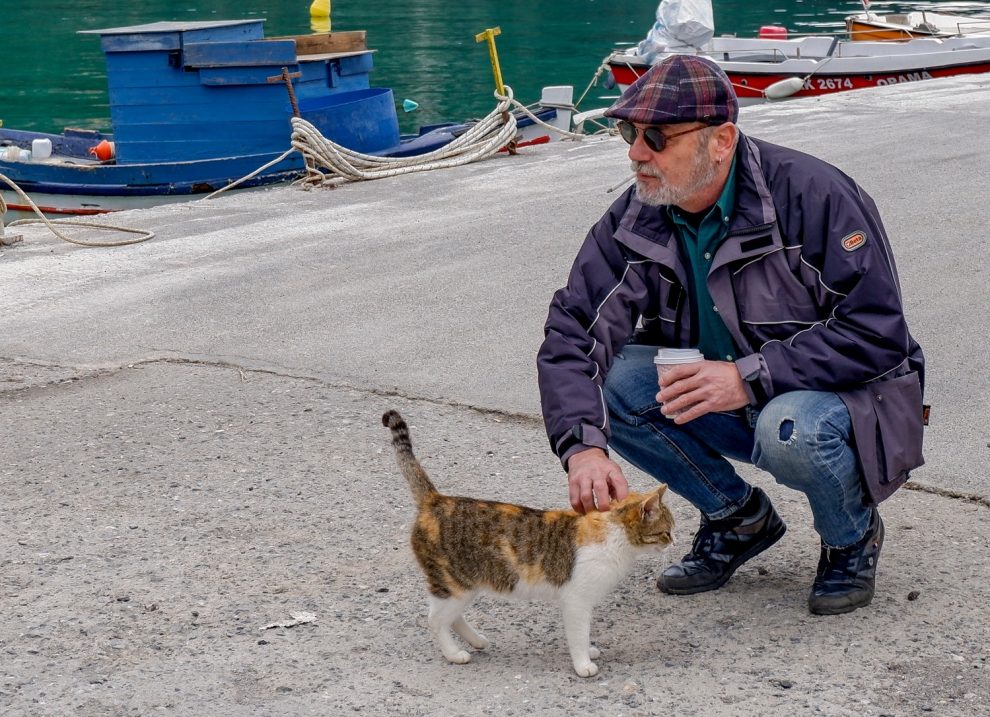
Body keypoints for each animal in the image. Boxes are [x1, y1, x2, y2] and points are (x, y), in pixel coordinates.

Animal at [380, 408, 676, 676]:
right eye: (666, 531)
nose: (673, 542)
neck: (616, 537)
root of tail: (435, 500)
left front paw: (589, 652)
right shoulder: (577, 600)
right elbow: (579, 634)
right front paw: (583, 664)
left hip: (466, 586)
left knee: (452, 617)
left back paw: (476, 640)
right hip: (454, 583)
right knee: (435, 620)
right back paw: (454, 653)